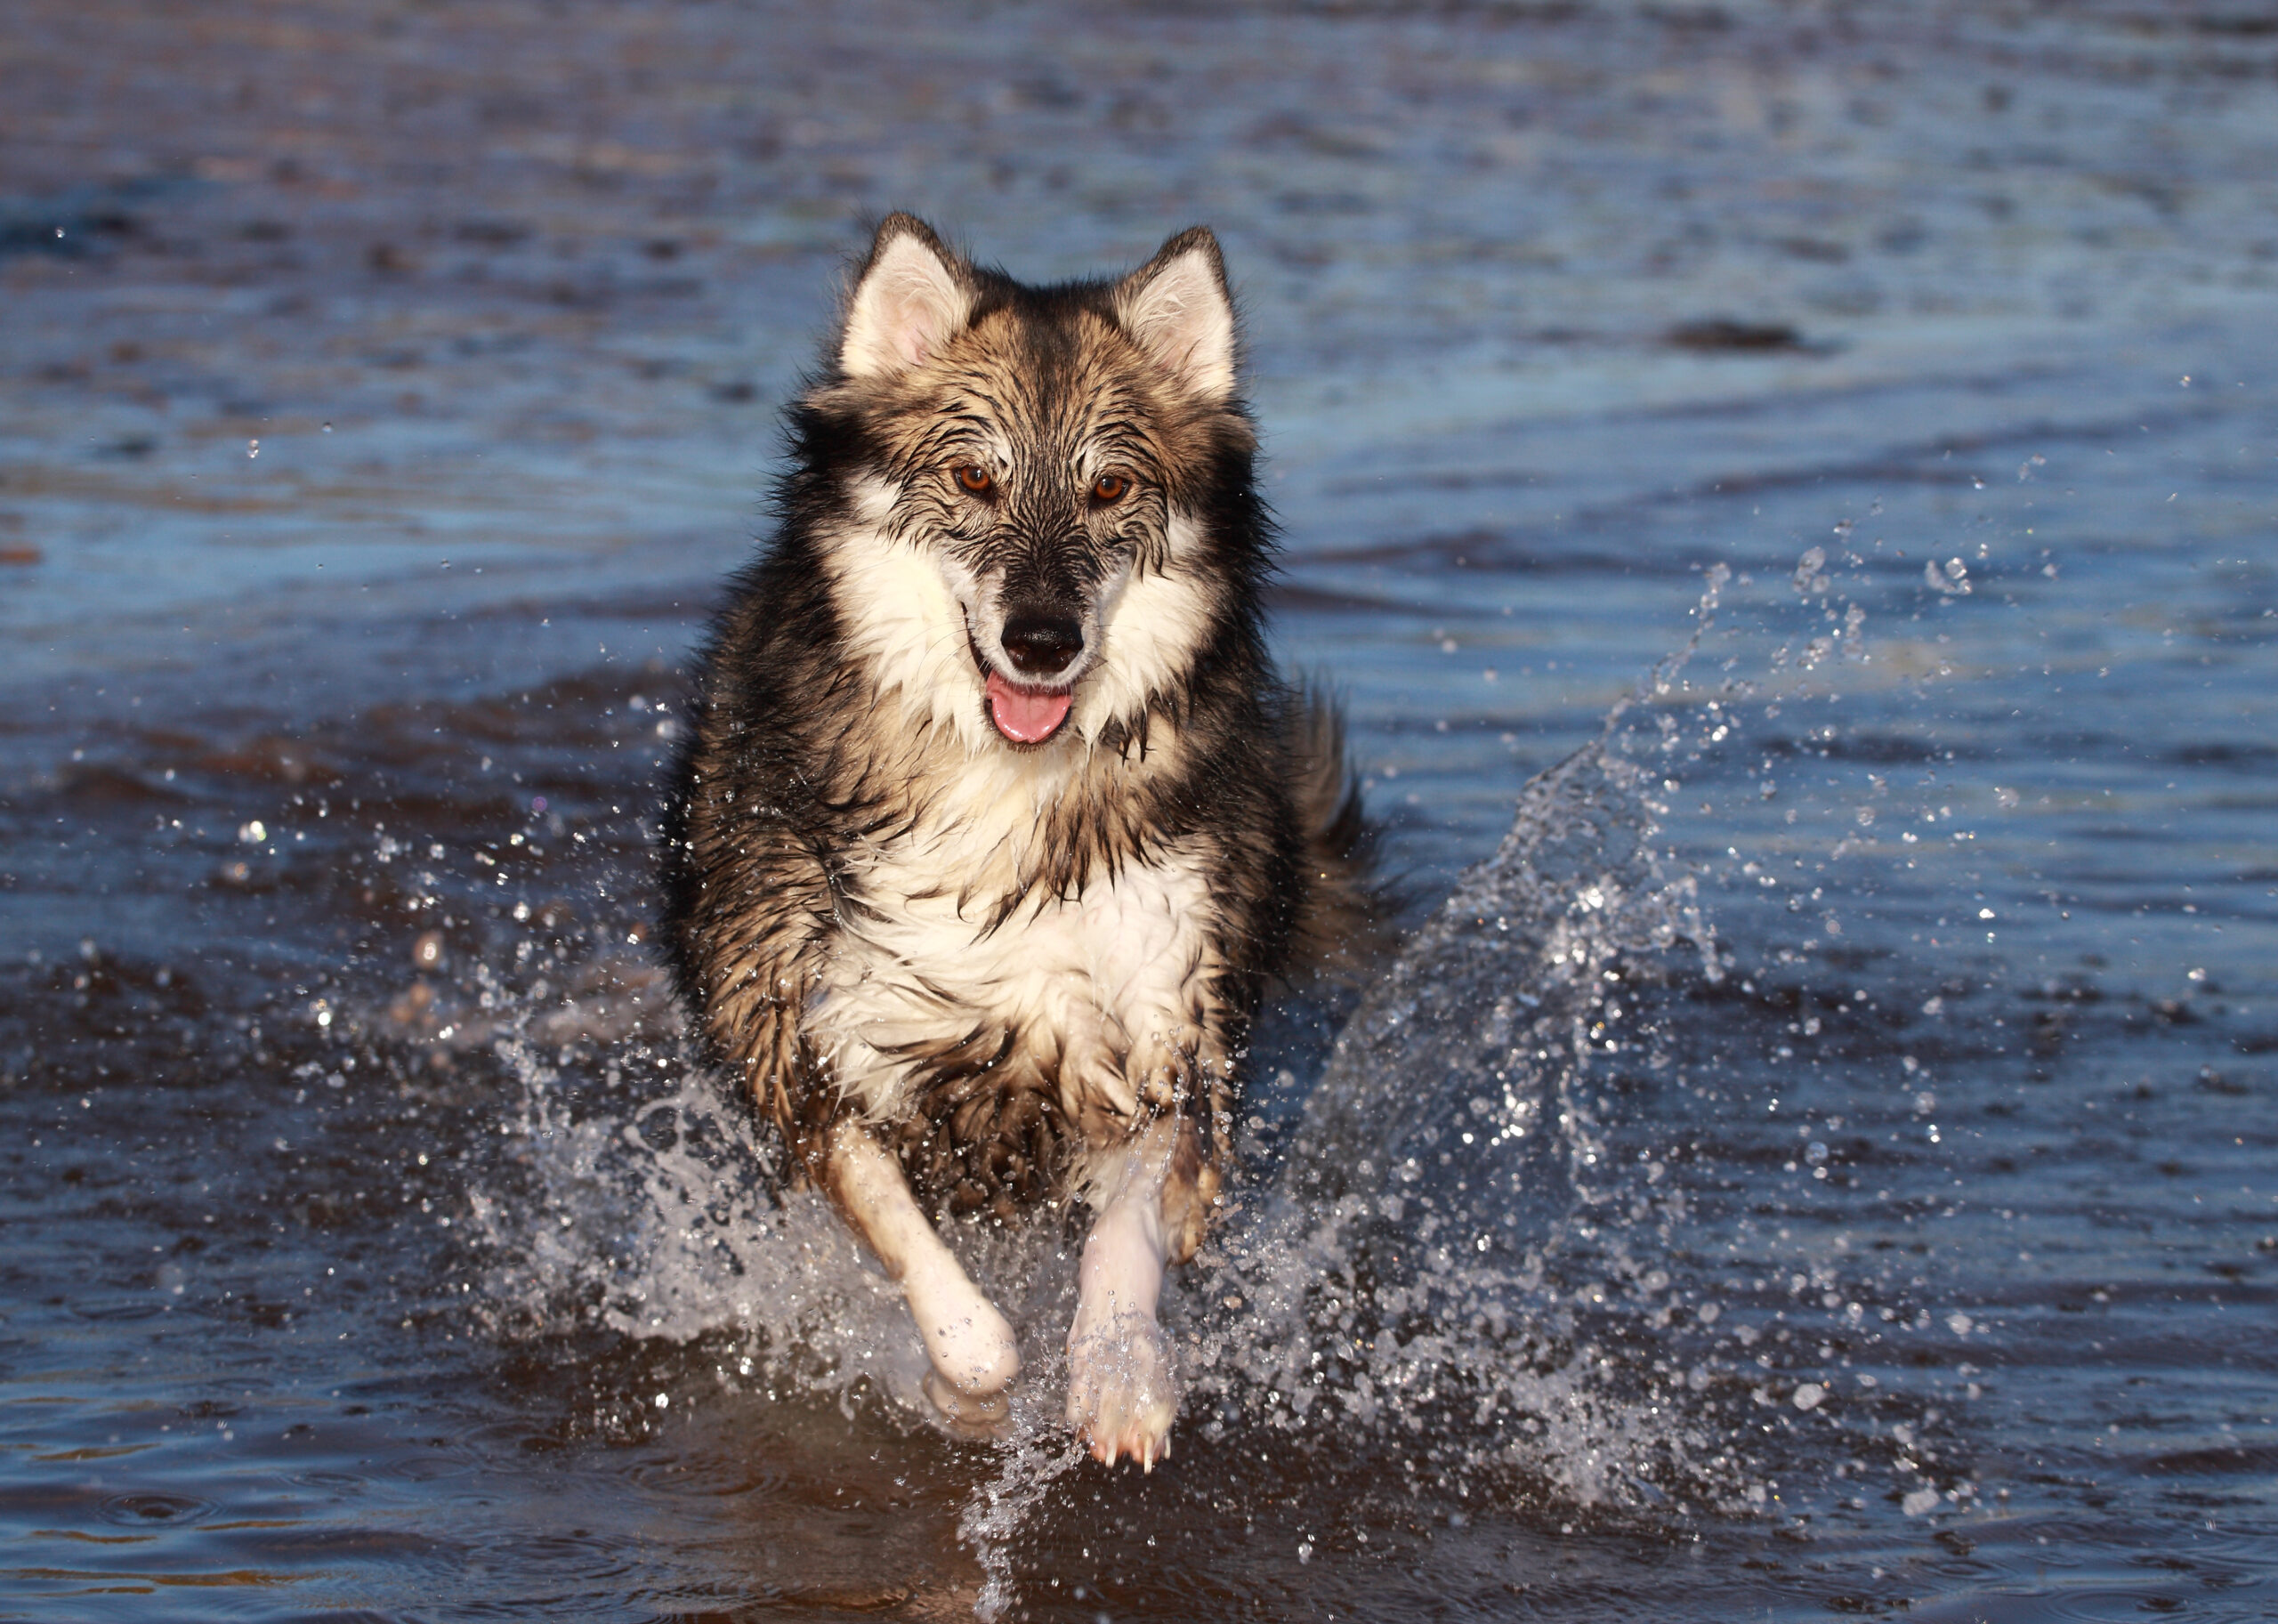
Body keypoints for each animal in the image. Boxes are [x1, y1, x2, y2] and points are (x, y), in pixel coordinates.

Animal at [660, 209, 1367, 1466]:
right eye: (974, 477)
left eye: (1111, 486)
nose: (1041, 641)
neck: (1007, 790)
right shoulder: (812, 1055)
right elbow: (927, 1271)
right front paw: (971, 1385)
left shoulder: (1163, 1035)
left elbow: (1128, 1235)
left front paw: (1121, 1376)